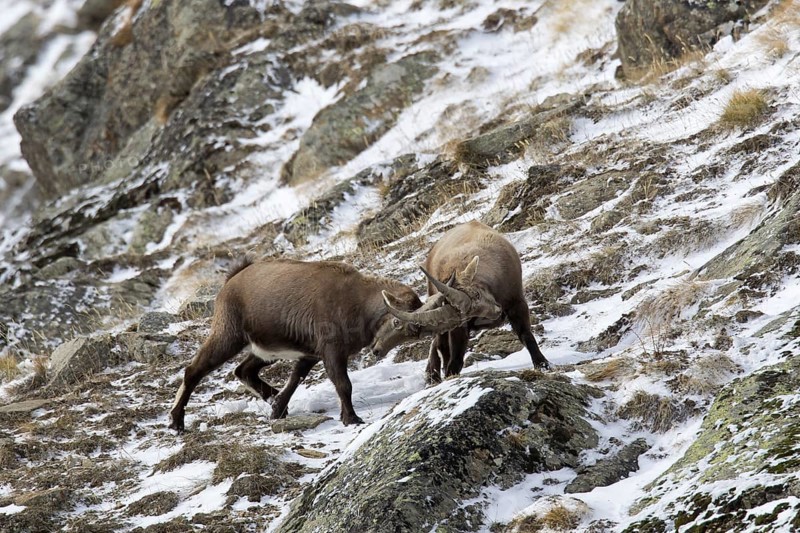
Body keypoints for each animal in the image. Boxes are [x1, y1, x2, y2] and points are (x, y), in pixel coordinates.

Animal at [169, 257, 465, 430]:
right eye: (396, 322)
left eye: (413, 333)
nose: (377, 350)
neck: (357, 302)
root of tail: (231, 281)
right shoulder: (330, 349)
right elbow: (343, 384)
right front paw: (351, 418)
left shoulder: (311, 352)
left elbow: (296, 377)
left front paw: (278, 408)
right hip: (228, 334)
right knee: (194, 370)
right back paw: (176, 420)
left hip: (265, 348)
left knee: (244, 370)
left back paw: (272, 398)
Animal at [385, 221, 550, 383]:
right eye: (465, 315)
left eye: (477, 294)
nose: (497, 313)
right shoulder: (458, 327)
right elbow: (456, 358)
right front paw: (450, 376)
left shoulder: (517, 302)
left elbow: (526, 335)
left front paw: (542, 365)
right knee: (440, 344)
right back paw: (433, 375)